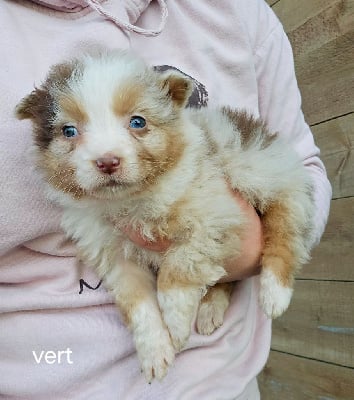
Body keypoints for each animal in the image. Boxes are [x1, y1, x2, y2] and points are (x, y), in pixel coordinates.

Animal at [16, 50, 316, 382]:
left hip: (260, 170)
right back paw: (210, 309)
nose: (107, 162)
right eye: (69, 131)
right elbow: (138, 304)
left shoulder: (212, 215)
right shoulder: (116, 259)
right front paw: (154, 350)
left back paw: (274, 292)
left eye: (138, 122)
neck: (131, 200)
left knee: (286, 219)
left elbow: (175, 271)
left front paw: (176, 324)